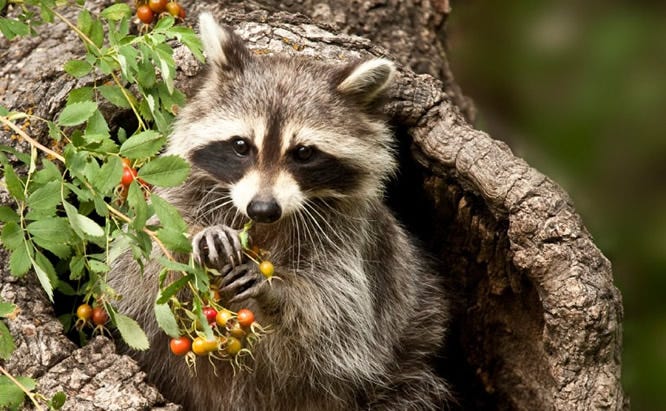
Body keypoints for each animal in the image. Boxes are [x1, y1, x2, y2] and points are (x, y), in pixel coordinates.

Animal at [109, 12, 448, 411]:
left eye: (303, 153)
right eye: (241, 145)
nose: (263, 208)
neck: (264, 226)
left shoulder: (353, 238)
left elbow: (339, 313)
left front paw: (274, 288)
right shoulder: (179, 195)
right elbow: (135, 269)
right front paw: (202, 235)